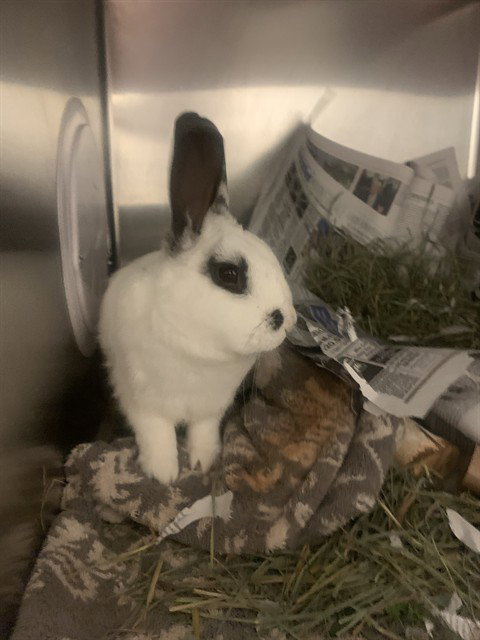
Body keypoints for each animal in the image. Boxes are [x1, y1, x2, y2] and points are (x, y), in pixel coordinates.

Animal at [99, 112, 296, 485]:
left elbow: (203, 431)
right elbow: (157, 434)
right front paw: (163, 474)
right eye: (229, 274)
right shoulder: (142, 402)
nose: (287, 321)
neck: (199, 350)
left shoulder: (211, 407)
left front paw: (204, 461)